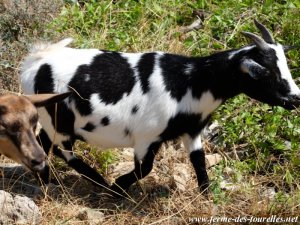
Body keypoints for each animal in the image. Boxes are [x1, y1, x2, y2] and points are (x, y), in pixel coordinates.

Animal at [20, 19, 300, 195]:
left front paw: (207, 196)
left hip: (53, 120)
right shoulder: (147, 136)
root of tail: (36, 61)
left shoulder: (191, 130)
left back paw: (45, 180)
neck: (190, 81)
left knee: (43, 143)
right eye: (266, 72)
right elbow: (144, 169)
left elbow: (199, 162)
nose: (295, 98)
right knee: (62, 150)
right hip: (59, 121)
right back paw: (99, 182)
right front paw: (118, 189)